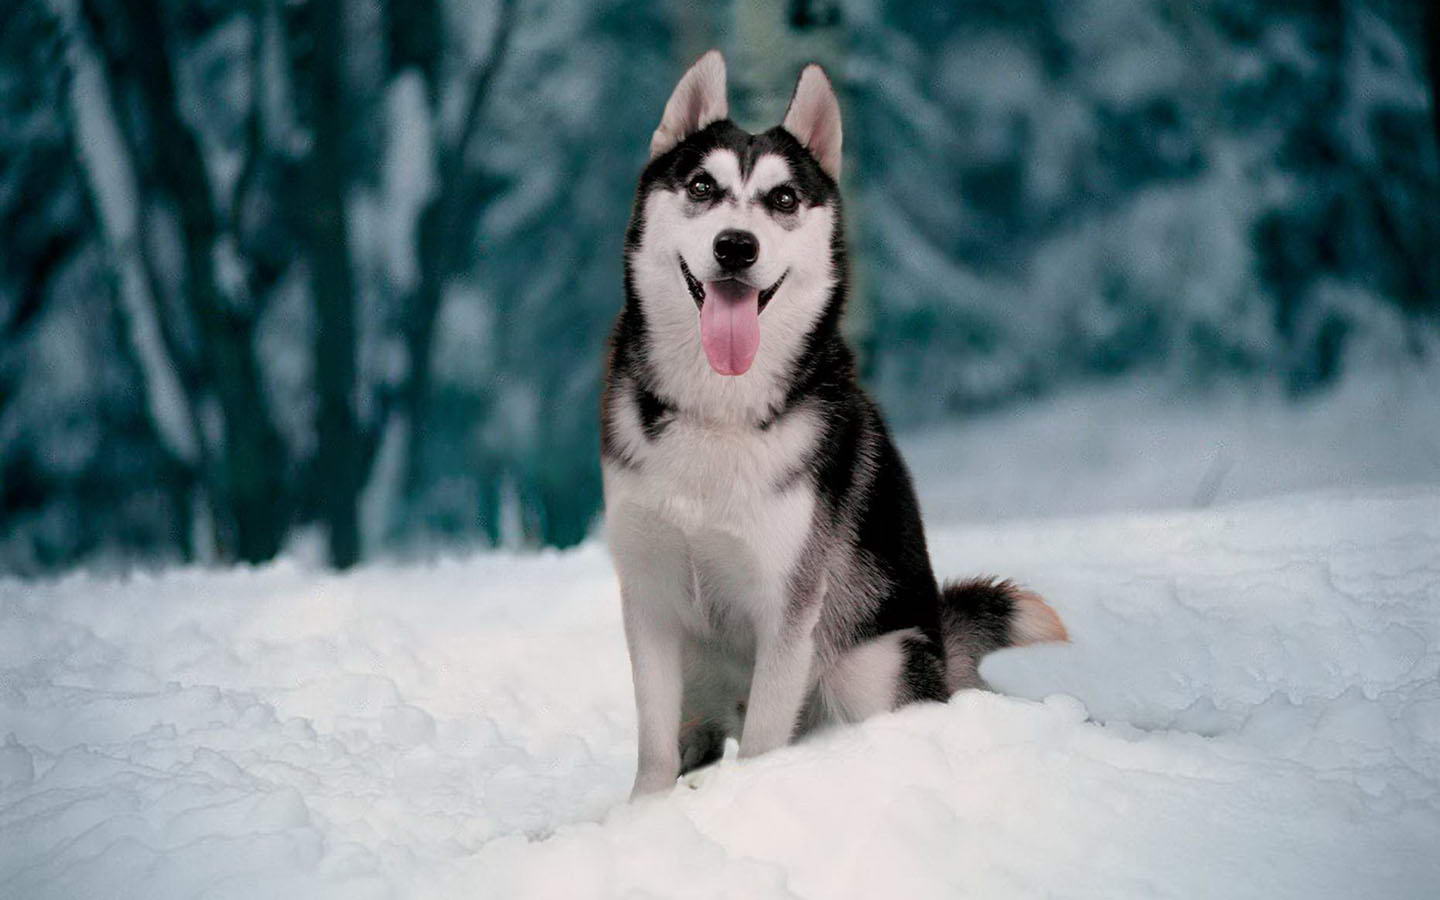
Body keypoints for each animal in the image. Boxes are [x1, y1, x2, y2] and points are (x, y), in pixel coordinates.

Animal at [601, 50, 1065, 794]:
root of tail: (942, 645)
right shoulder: (650, 599)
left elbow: (766, 738)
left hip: (869, 663)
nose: (736, 246)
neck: (720, 413)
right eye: (702, 186)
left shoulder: (789, 609)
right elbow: (654, 749)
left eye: (784, 200)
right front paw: (643, 813)